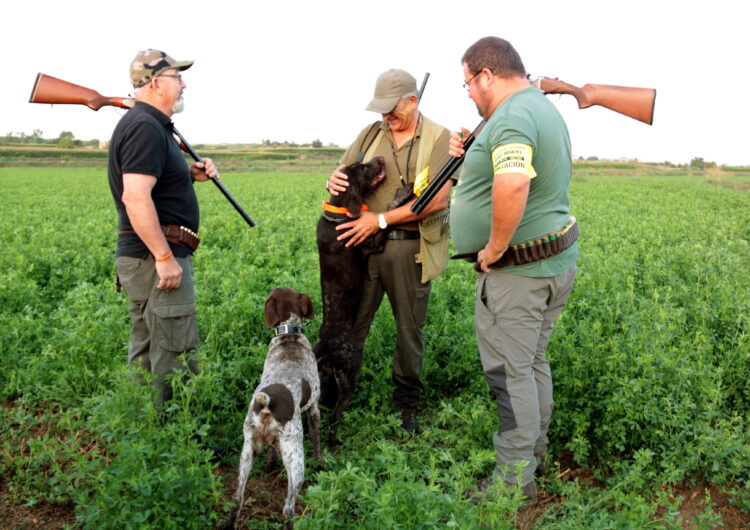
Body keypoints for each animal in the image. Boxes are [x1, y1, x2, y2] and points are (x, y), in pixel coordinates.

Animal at [228, 286, 324, 524]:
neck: (290, 334)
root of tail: (267, 403)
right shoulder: (314, 408)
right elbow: (317, 439)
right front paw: (321, 462)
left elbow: (271, 451)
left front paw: (270, 465)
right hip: (296, 458)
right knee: (288, 508)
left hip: (247, 452)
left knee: (237, 499)